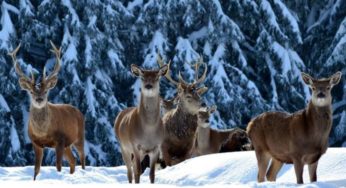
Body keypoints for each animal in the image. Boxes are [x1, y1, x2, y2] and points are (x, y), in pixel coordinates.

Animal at [8, 41, 85, 180]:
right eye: (31, 92)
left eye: (46, 91)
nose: (39, 99)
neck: (43, 132)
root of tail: (79, 112)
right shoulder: (36, 143)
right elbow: (36, 169)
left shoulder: (60, 141)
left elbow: (58, 166)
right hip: (68, 145)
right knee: (73, 160)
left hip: (79, 137)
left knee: (82, 157)